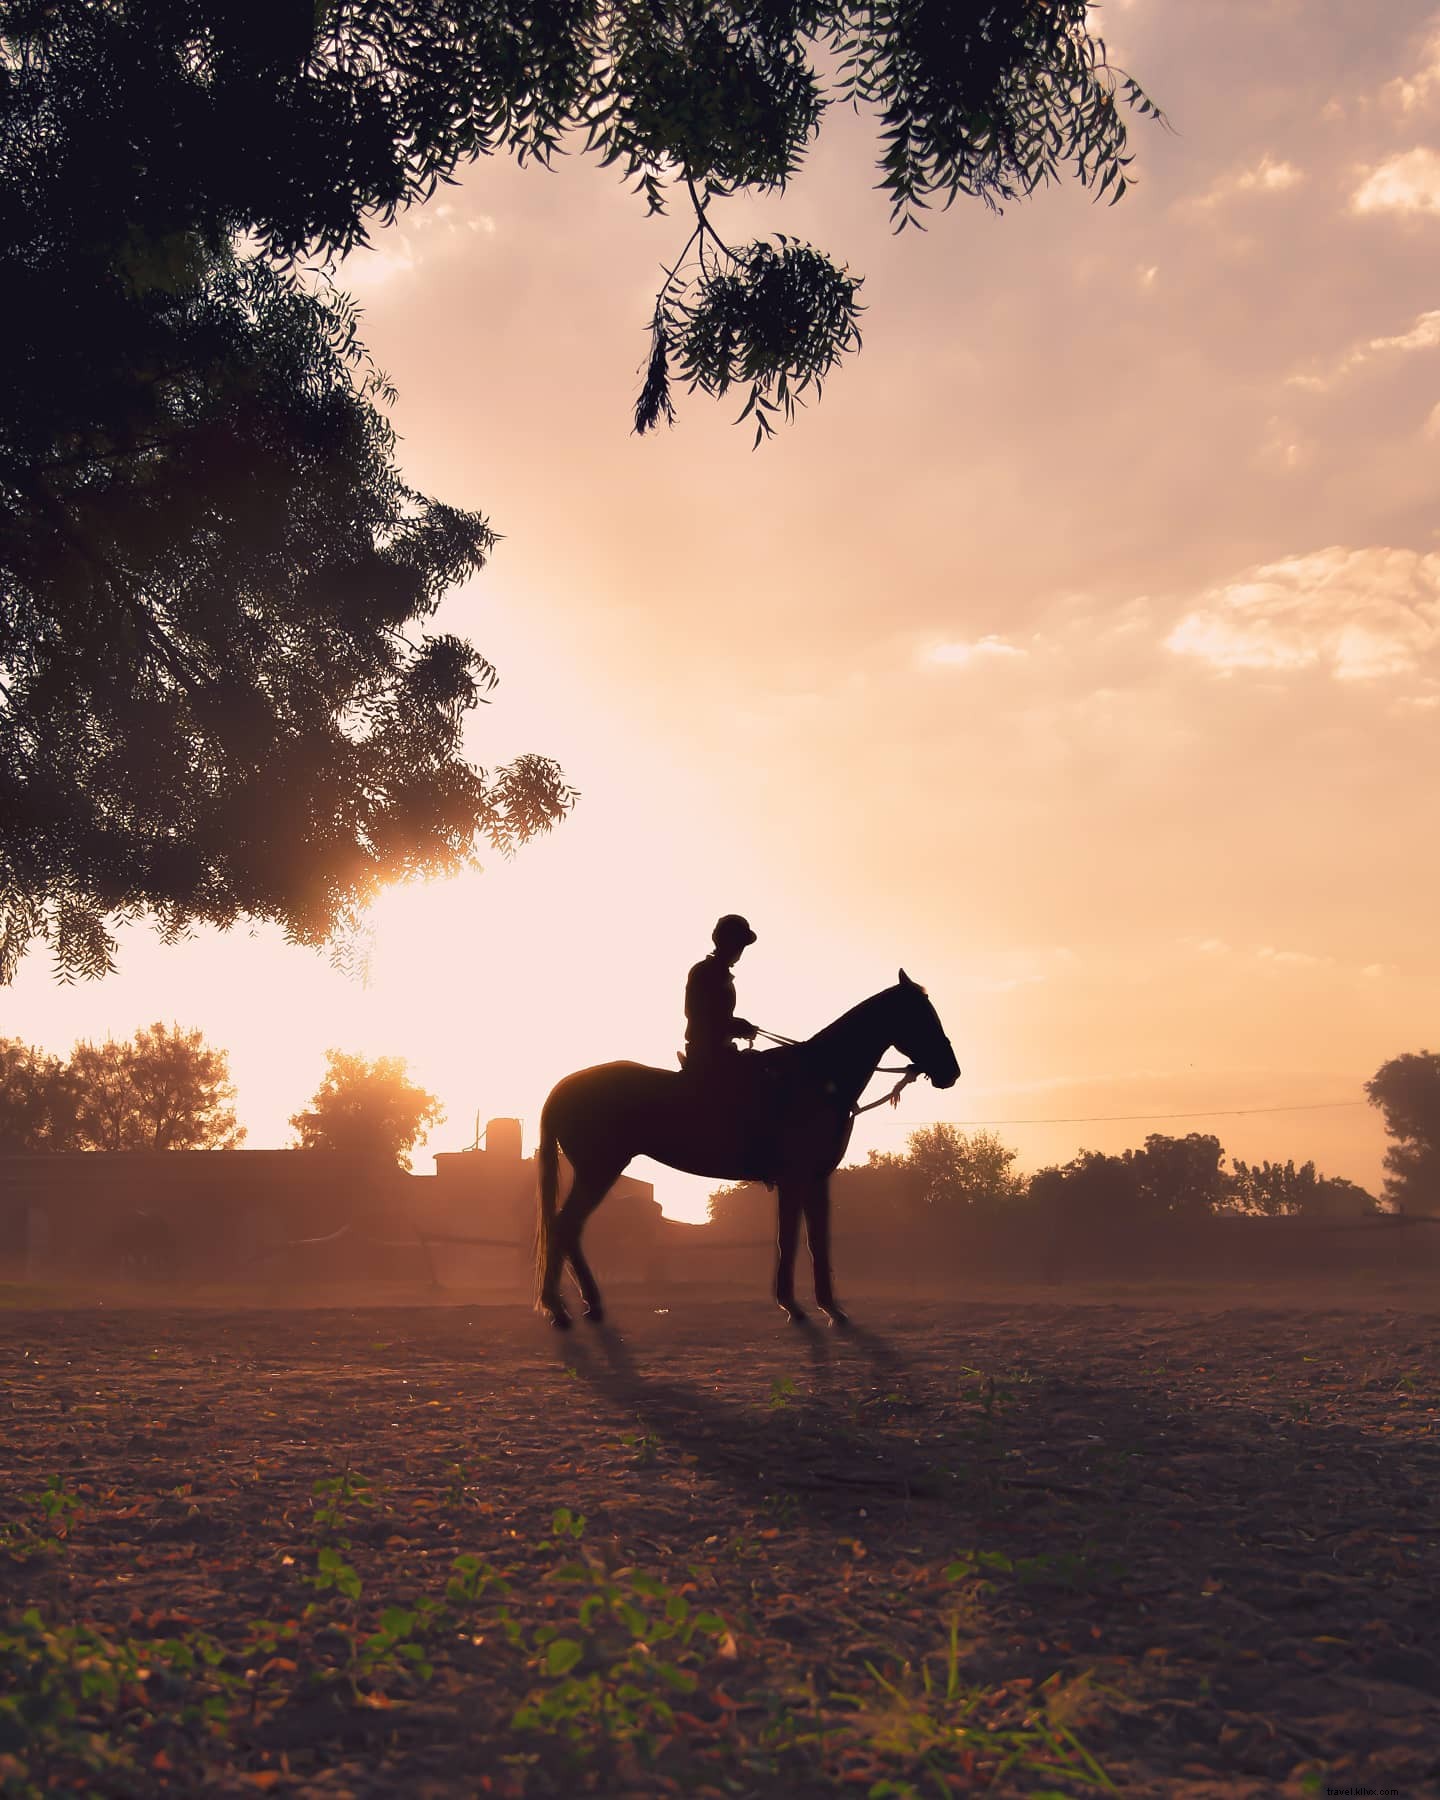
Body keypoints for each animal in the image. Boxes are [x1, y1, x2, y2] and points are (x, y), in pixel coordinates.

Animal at [532, 979, 964, 1332]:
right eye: (922, 1016)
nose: (952, 1072)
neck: (815, 1079)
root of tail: (564, 1087)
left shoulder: (816, 1179)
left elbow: (816, 1240)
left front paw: (830, 1308)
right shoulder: (793, 1179)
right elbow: (789, 1239)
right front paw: (793, 1306)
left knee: (568, 1227)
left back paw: (585, 1306)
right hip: (599, 1169)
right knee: (566, 1225)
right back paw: (562, 1309)